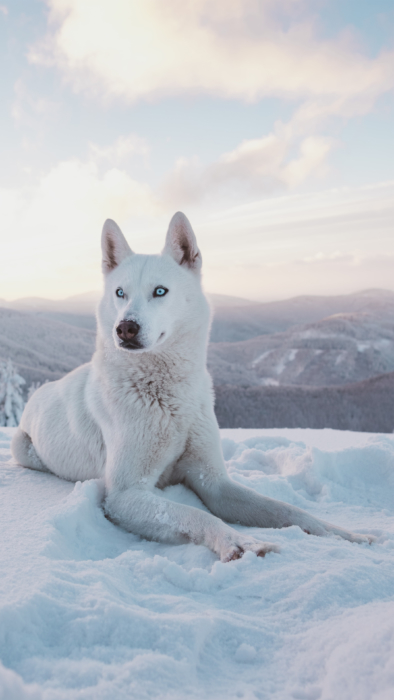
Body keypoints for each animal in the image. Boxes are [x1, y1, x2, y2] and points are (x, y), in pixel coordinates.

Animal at [11, 213, 372, 564]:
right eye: (120, 293)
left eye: (160, 291)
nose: (125, 328)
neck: (169, 398)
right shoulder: (126, 495)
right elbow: (197, 515)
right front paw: (240, 542)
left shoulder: (214, 482)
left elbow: (287, 510)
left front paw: (347, 535)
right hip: (23, 448)